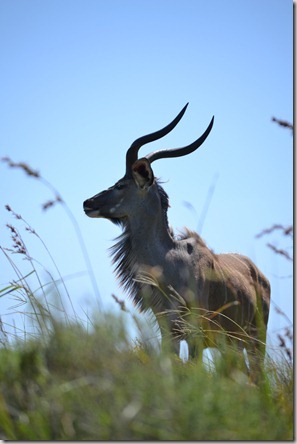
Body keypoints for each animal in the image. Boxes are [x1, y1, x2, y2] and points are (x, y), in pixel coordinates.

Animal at [84, 104, 270, 374]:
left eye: (120, 185)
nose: (88, 203)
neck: (170, 261)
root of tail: (260, 275)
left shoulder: (195, 336)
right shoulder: (168, 333)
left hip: (255, 341)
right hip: (232, 346)